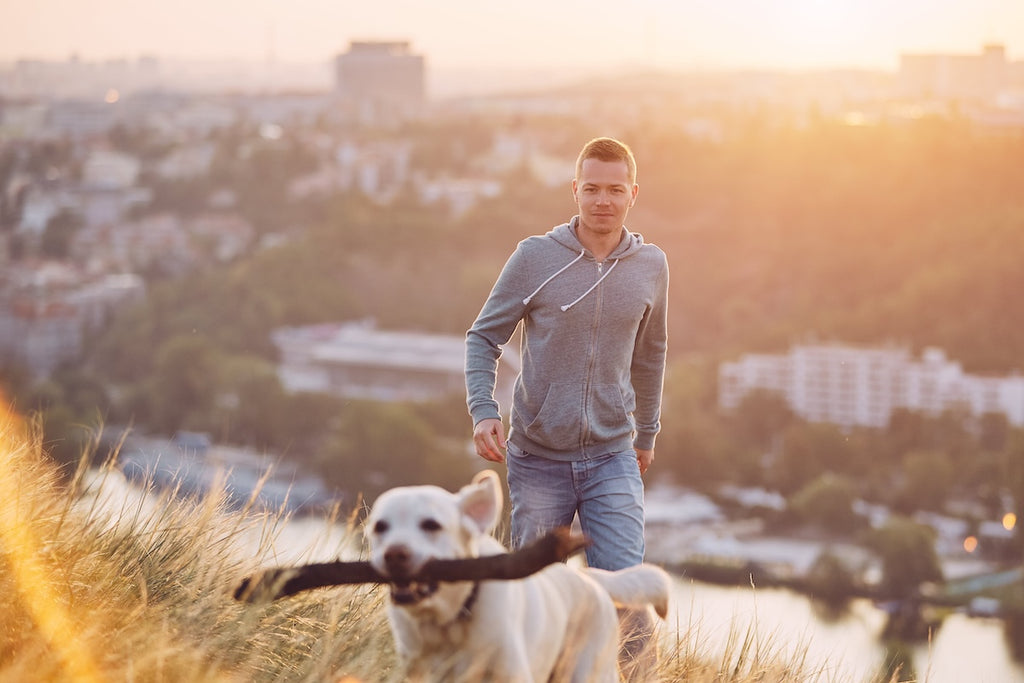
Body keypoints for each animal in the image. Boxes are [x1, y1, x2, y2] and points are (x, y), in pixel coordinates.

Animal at [366, 471, 671, 683]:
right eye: (379, 527)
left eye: (431, 525)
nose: (394, 554)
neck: (449, 621)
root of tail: (591, 579)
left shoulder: (512, 672)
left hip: (587, 671)